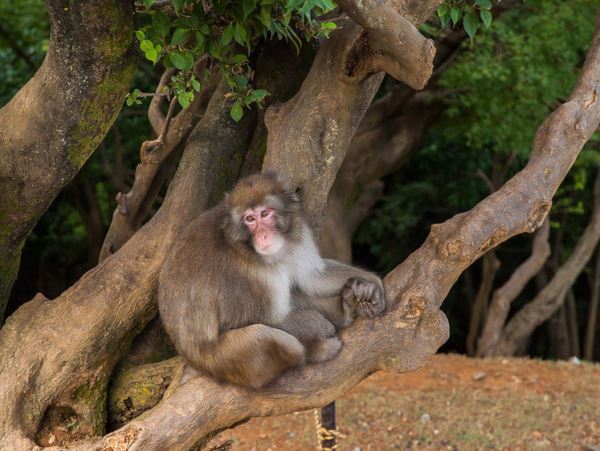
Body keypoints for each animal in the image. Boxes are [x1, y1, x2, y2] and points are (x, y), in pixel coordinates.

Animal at [158, 171, 384, 390]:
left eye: (265, 213)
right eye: (250, 219)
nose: (264, 236)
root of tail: (192, 361)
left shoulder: (298, 233)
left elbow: (313, 278)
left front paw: (371, 284)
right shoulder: (246, 276)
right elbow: (263, 319)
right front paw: (318, 324)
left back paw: (344, 310)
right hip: (223, 362)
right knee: (267, 336)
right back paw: (315, 351)